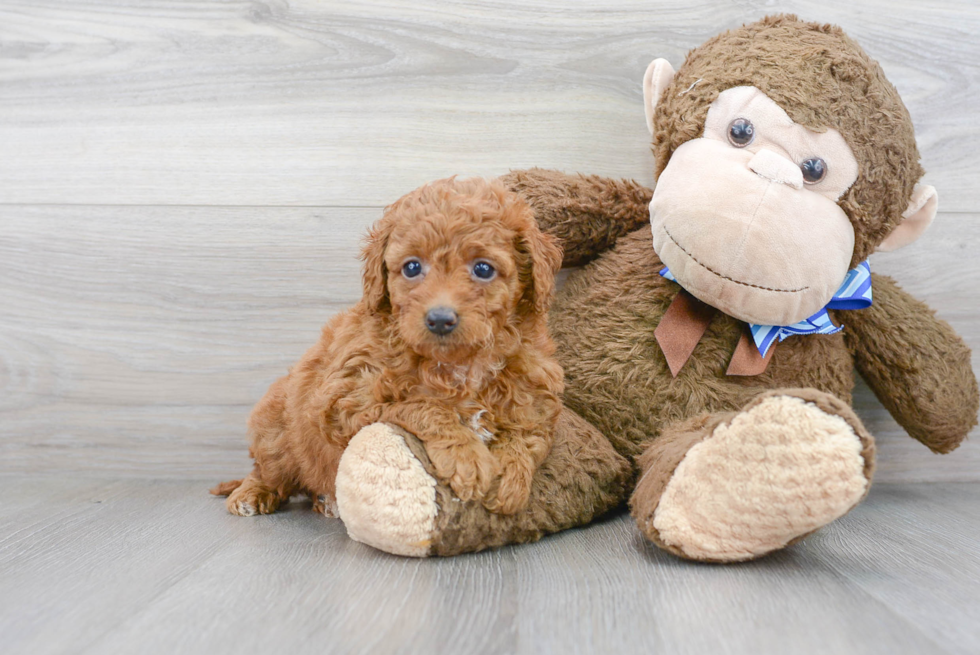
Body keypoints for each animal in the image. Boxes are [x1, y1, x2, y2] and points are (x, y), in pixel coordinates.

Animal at [214, 178, 568, 516]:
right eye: (412, 267)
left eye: (483, 269)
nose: (440, 319)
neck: (458, 364)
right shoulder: (346, 400)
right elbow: (422, 405)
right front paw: (466, 456)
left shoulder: (535, 398)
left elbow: (528, 437)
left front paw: (510, 477)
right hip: (275, 429)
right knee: (269, 470)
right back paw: (251, 493)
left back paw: (324, 500)